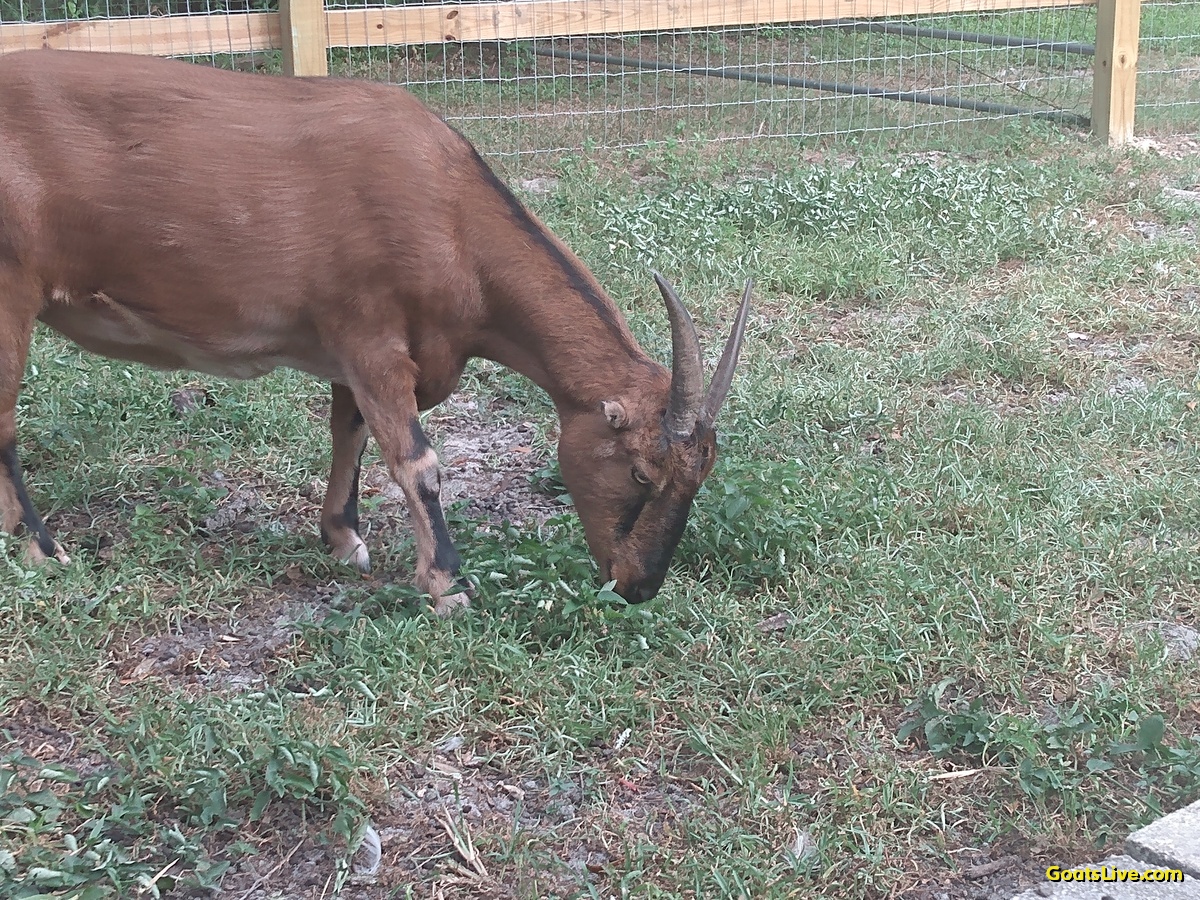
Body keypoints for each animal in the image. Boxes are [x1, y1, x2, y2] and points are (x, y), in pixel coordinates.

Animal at [0, 49, 750, 613]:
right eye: (641, 471)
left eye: (701, 474)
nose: (638, 585)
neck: (449, 215)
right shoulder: (370, 340)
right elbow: (418, 462)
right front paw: (448, 585)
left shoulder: (351, 350)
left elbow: (350, 432)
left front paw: (341, 537)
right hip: (10, 288)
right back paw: (42, 548)